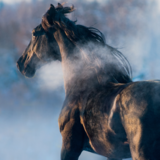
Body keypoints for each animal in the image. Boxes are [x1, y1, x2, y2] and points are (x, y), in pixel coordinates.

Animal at [16, 3, 160, 160]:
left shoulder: (69, 146)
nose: (20, 63)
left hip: (140, 152)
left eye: (34, 33)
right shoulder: (113, 154)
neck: (82, 85)